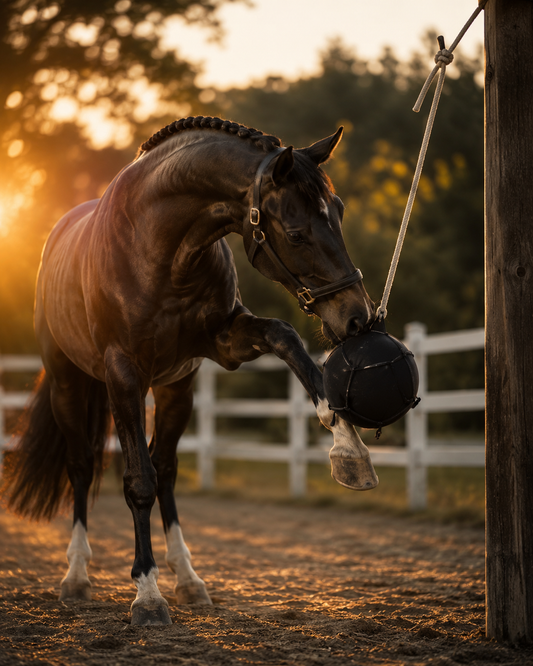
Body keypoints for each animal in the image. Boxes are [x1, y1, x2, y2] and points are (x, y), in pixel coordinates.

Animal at [2, 115, 379, 626]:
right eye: (297, 232)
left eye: (337, 212)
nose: (358, 317)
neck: (158, 247)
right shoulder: (123, 374)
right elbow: (137, 483)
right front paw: (146, 597)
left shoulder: (224, 341)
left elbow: (286, 338)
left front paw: (347, 442)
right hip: (68, 385)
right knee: (82, 467)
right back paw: (77, 576)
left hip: (177, 389)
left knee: (166, 469)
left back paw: (188, 578)